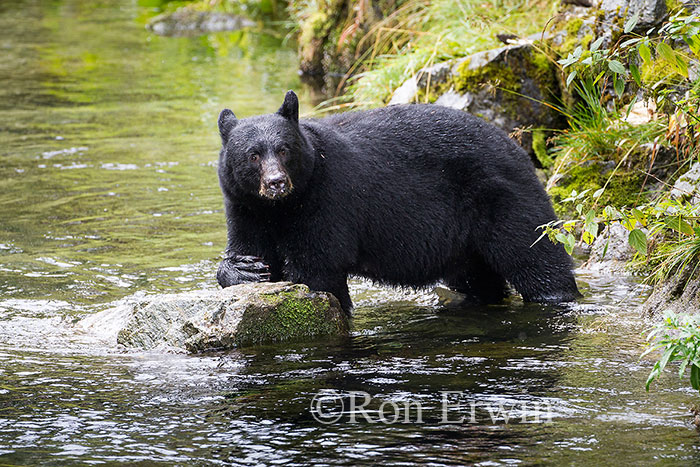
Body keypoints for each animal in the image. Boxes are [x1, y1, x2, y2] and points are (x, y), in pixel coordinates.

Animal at [216, 90, 580, 313]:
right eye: (252, 155)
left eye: (284, 150)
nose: (276, 183)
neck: (282, 207)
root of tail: (516, 147)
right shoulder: (245, 207)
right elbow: (249, 248)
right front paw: (244, 267)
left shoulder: (327, 199)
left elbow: (318, 268)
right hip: (467, 242)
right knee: (478, 276)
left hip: (503, 198)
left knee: (534, 256)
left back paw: (557, 294)